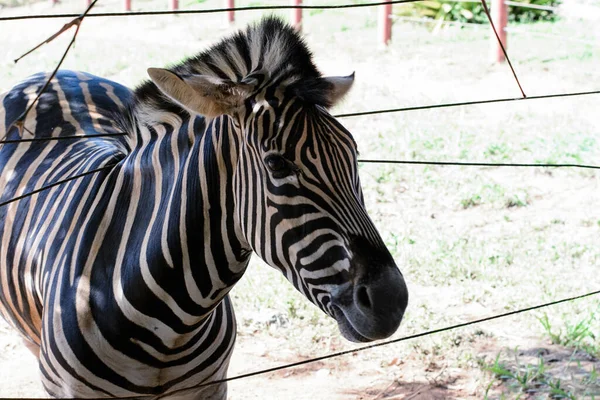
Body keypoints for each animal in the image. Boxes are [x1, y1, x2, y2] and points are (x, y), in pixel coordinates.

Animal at [0, 17, 408, 398]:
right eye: (277, 165)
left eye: (354, 154)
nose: (391, 301)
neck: (170, 324)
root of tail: (51, 75)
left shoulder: (211, 387)